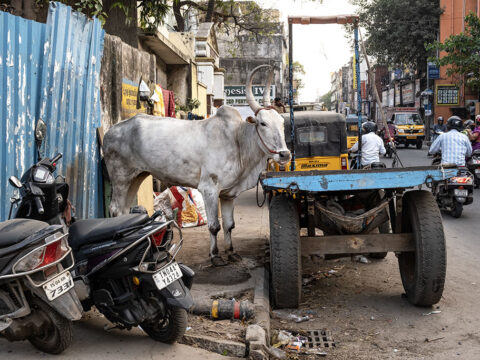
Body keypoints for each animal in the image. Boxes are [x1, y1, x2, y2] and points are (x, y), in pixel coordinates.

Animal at [103, 66, 290, 266]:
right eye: (263, 123)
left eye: (282, 123)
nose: (285, 154)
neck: (237, 140)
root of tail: (111, 131)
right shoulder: (209, 189)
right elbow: (214, 226)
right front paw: (215, 256)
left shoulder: (228, 194)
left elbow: (229, 225)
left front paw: (231, 252)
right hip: (120, 177)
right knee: (115, 209)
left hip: (136, 176)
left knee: (125, 210)